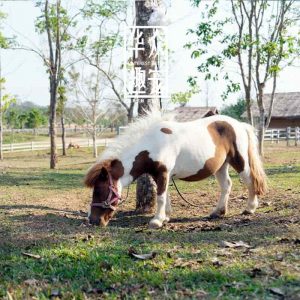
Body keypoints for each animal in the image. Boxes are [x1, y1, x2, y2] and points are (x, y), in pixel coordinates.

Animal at [84, 112, 268, 227]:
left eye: (100, 190)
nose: (93, 220)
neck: (152, 143)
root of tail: (240, 125)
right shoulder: (161, 175)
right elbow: (165, 195)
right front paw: (165, 217)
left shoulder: (163, 173)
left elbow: (160, 197)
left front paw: (157, 221)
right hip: (221, 166)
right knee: (226, 186)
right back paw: (218, 212)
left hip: (240, 162)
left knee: (250, 181)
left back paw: (249, 208)